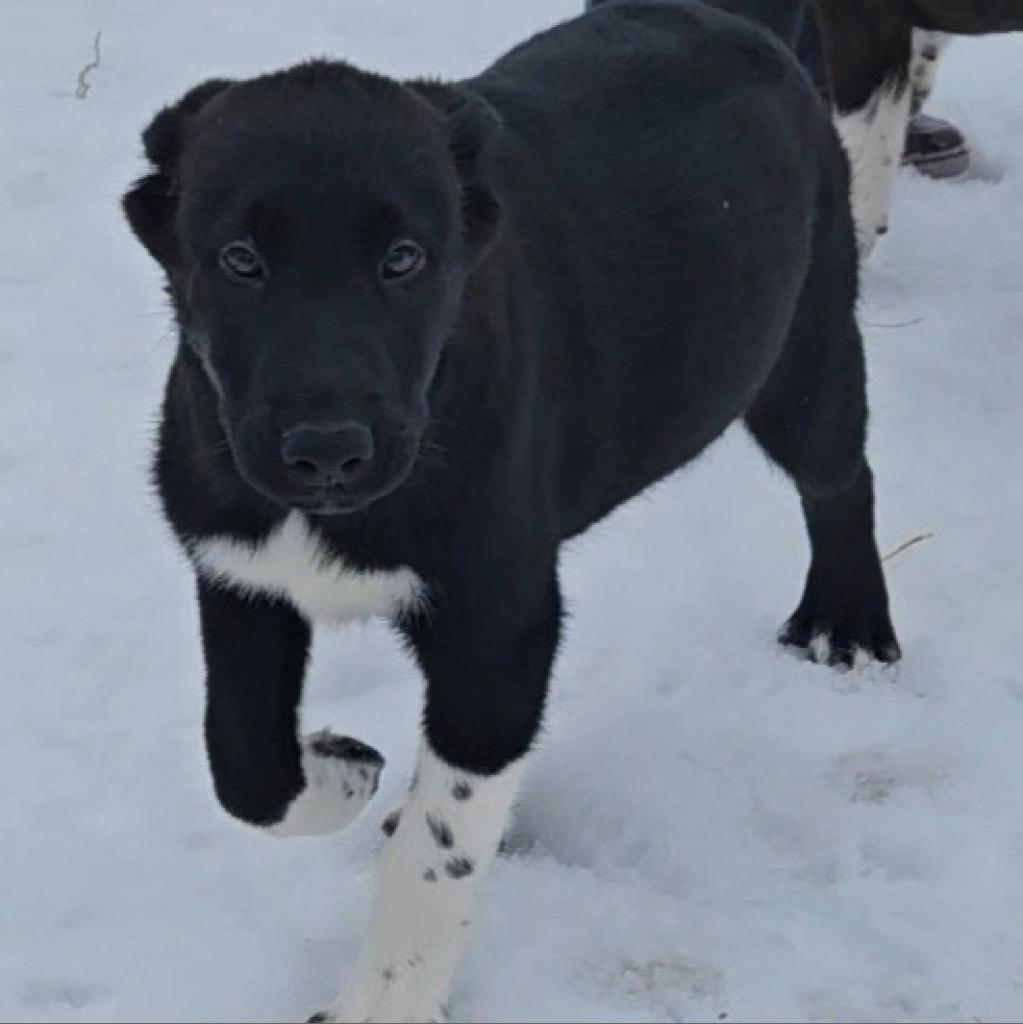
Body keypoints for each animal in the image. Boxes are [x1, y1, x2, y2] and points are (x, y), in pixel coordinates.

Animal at [123, 4, 901, 1019]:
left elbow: (439, 853)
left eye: (404, 259)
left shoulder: (499, 627)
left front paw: (385, 999)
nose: (328, 449)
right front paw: (342, 764)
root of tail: (724, 17)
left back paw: (847, 622)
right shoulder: (241, 572)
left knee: (841, 481)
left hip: (803, 348)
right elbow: (246, 765)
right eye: (240, 261)